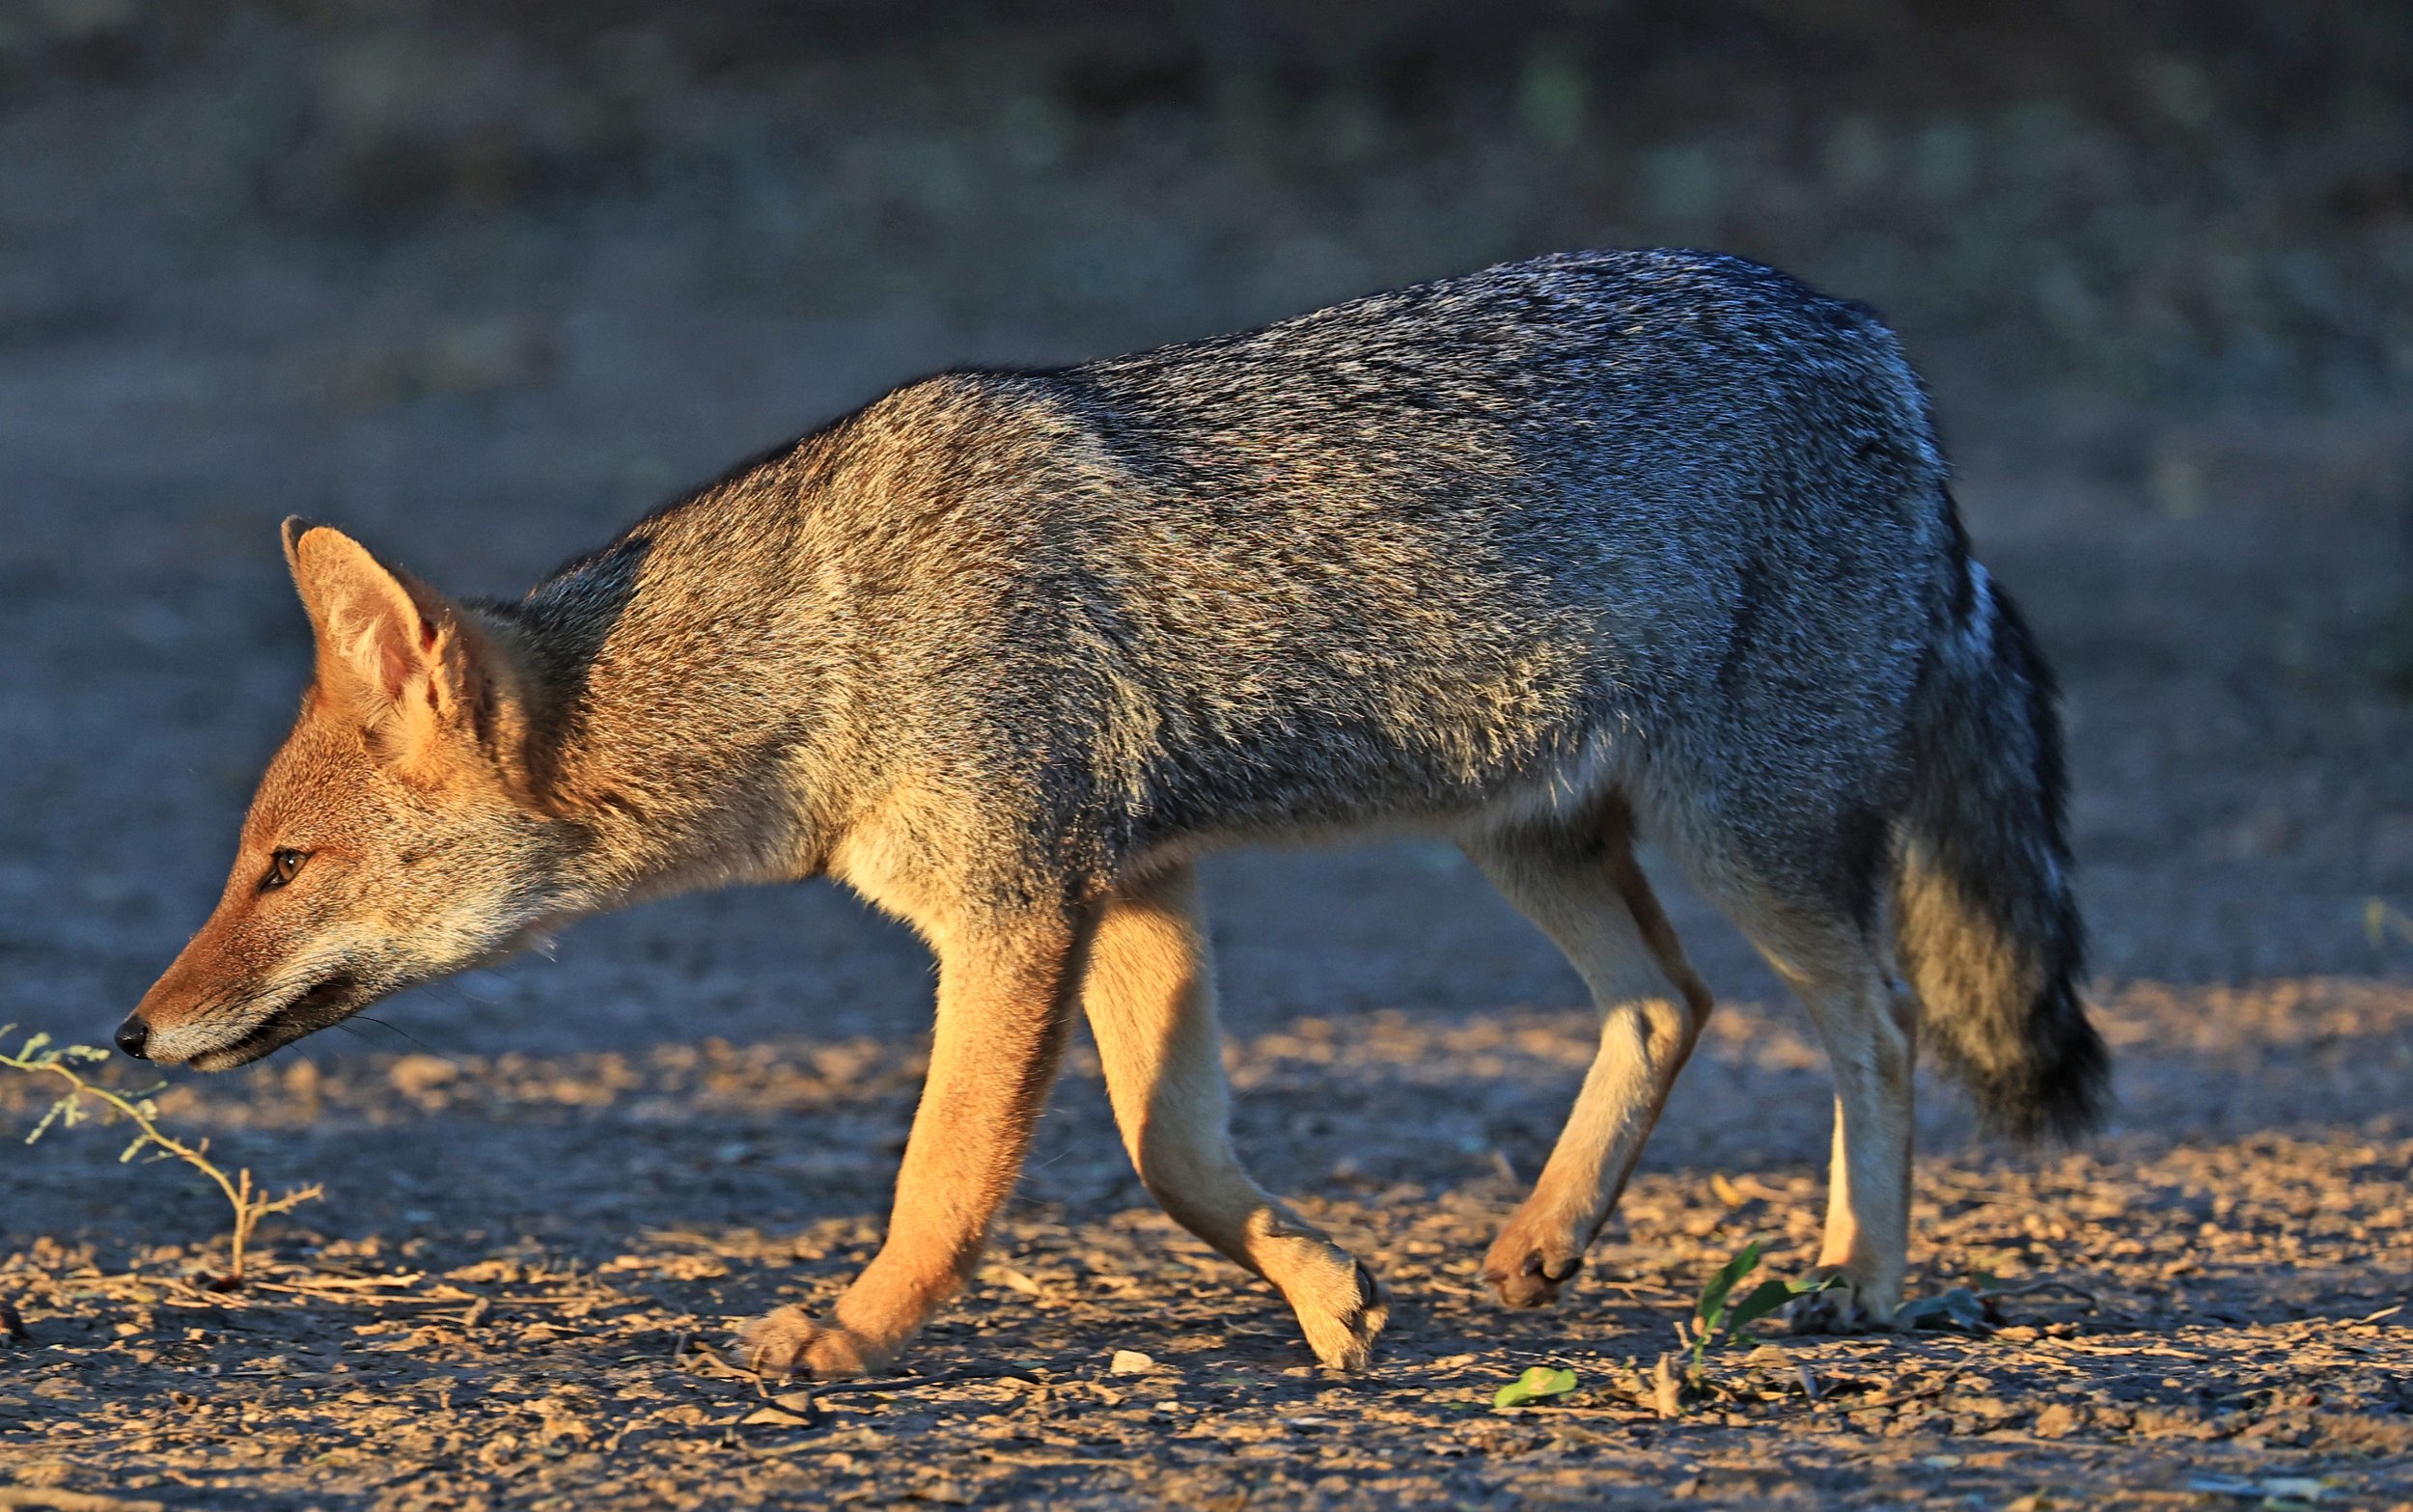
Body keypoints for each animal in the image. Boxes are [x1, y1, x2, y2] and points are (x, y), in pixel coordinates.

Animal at [120, 248, 2107, 1379]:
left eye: (281, 865)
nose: (131, 1033)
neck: (831, 640)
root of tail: (1881, 351)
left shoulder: (1020, 908)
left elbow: (945, 1176)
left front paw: (849, 1331)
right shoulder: (1140, 887)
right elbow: (1175, 1154)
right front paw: (1329, 1291)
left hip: (1743, 842)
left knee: (1877, 1018)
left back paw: (1858, 1278)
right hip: (1527, 836)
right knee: (1668, 1001)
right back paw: (1546, 1239)